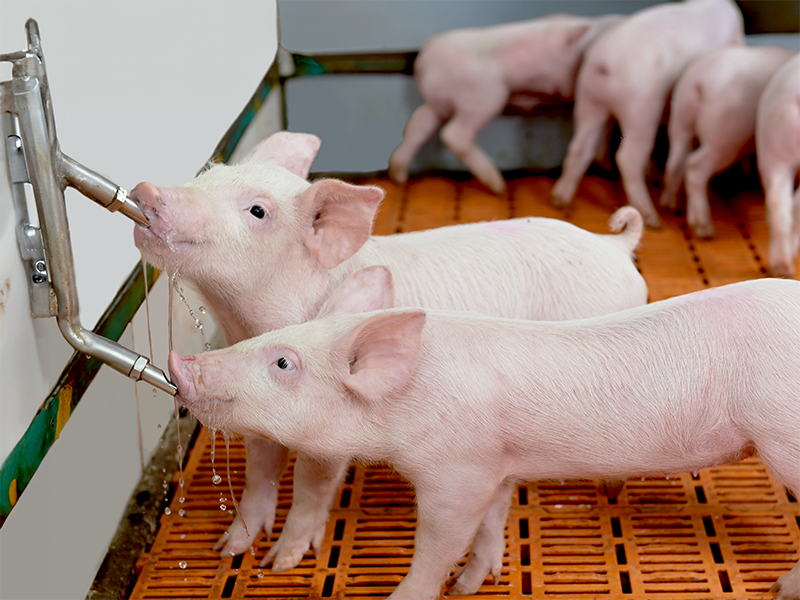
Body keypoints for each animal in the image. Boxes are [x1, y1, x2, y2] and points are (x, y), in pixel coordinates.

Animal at [132, 130, 648, 572]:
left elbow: (311, 484)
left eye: (257, 211)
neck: (245, 318)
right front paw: (229, 550)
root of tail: (616, 246)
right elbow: (261, 466)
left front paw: (279, 562)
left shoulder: (333, 421)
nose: (147, 190)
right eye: (206, 173)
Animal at [170, 269, 800, 600]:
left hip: (782, 434)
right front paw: (474, 583)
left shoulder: (457, 472)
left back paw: (781, 589)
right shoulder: (497, 462)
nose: (180, 361)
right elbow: (494, 520)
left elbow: (442, 540)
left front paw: (421, 592)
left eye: (283, 362)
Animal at [387, 13, 622, 194]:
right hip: (486, 96)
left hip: (439, 103)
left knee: (418, 124)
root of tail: (424, 60)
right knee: (454, 134)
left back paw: (398, 175)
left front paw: (606, 165)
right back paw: (498, 186)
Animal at [551, 0, 744, 228]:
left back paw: (560, 200)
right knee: (627, 158)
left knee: (580, 147)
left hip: (588, 101)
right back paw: (653, 220)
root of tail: (603, 65)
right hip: (640, 111)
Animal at [660, 46, 793, 238]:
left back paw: (669, 205)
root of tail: (697, 81)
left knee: (675, 163)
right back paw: (705, 230)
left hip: (680, 120)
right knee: (694, 166)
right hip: (723, 139)